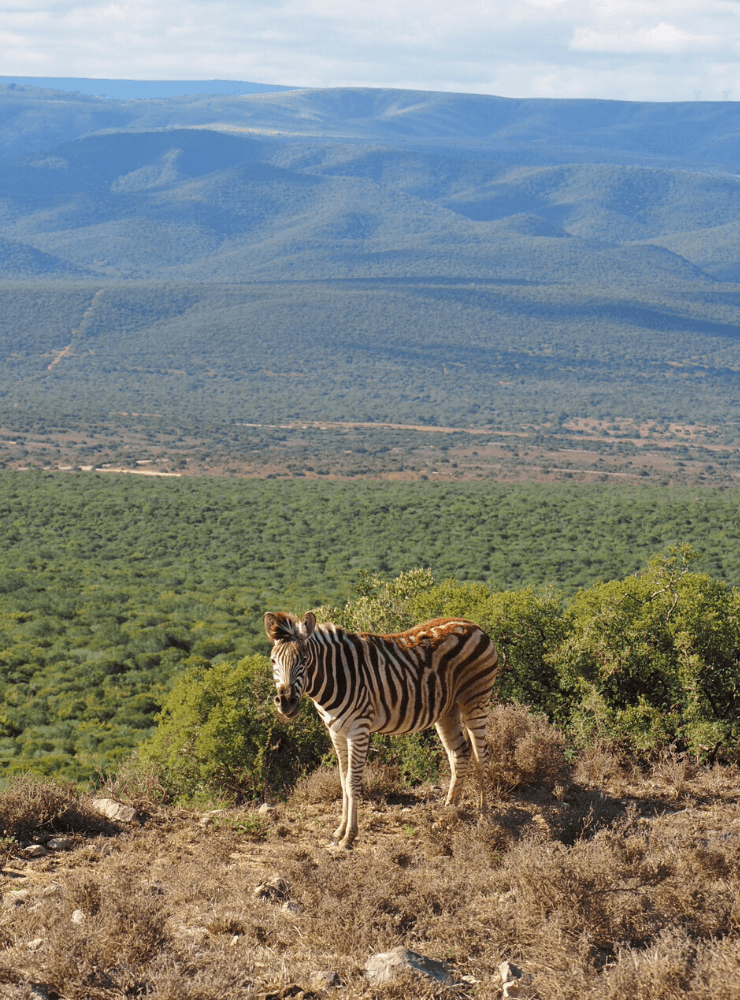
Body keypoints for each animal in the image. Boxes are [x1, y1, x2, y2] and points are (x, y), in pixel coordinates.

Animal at [264, 604, 500, 848]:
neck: (336, 675)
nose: (286, 702)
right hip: (448, 710)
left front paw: (349, 836)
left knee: (481, 755)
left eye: (304, 659)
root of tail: (473, 625)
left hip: (476, 699)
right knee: (459, 754)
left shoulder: (358, 729)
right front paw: (339, 831)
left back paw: (482, 815)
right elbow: (342, 781)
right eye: (273, 661)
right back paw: (447, 815)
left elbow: (352, 782)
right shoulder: (336, 732)